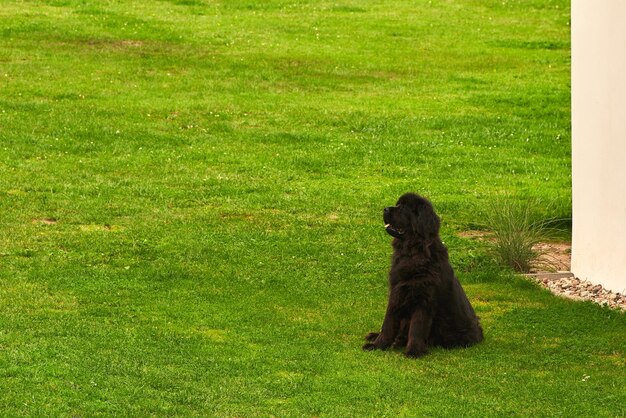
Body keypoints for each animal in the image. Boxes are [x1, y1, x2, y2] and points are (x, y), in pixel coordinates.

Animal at [360, 193, 482, 360]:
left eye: (404, 208)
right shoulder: (397, 292)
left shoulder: (423, 298)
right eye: (397, 204)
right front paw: (377, 345)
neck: (412, 252)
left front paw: (413, 351)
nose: (385, 209)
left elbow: (417, 328)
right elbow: (388, 323)